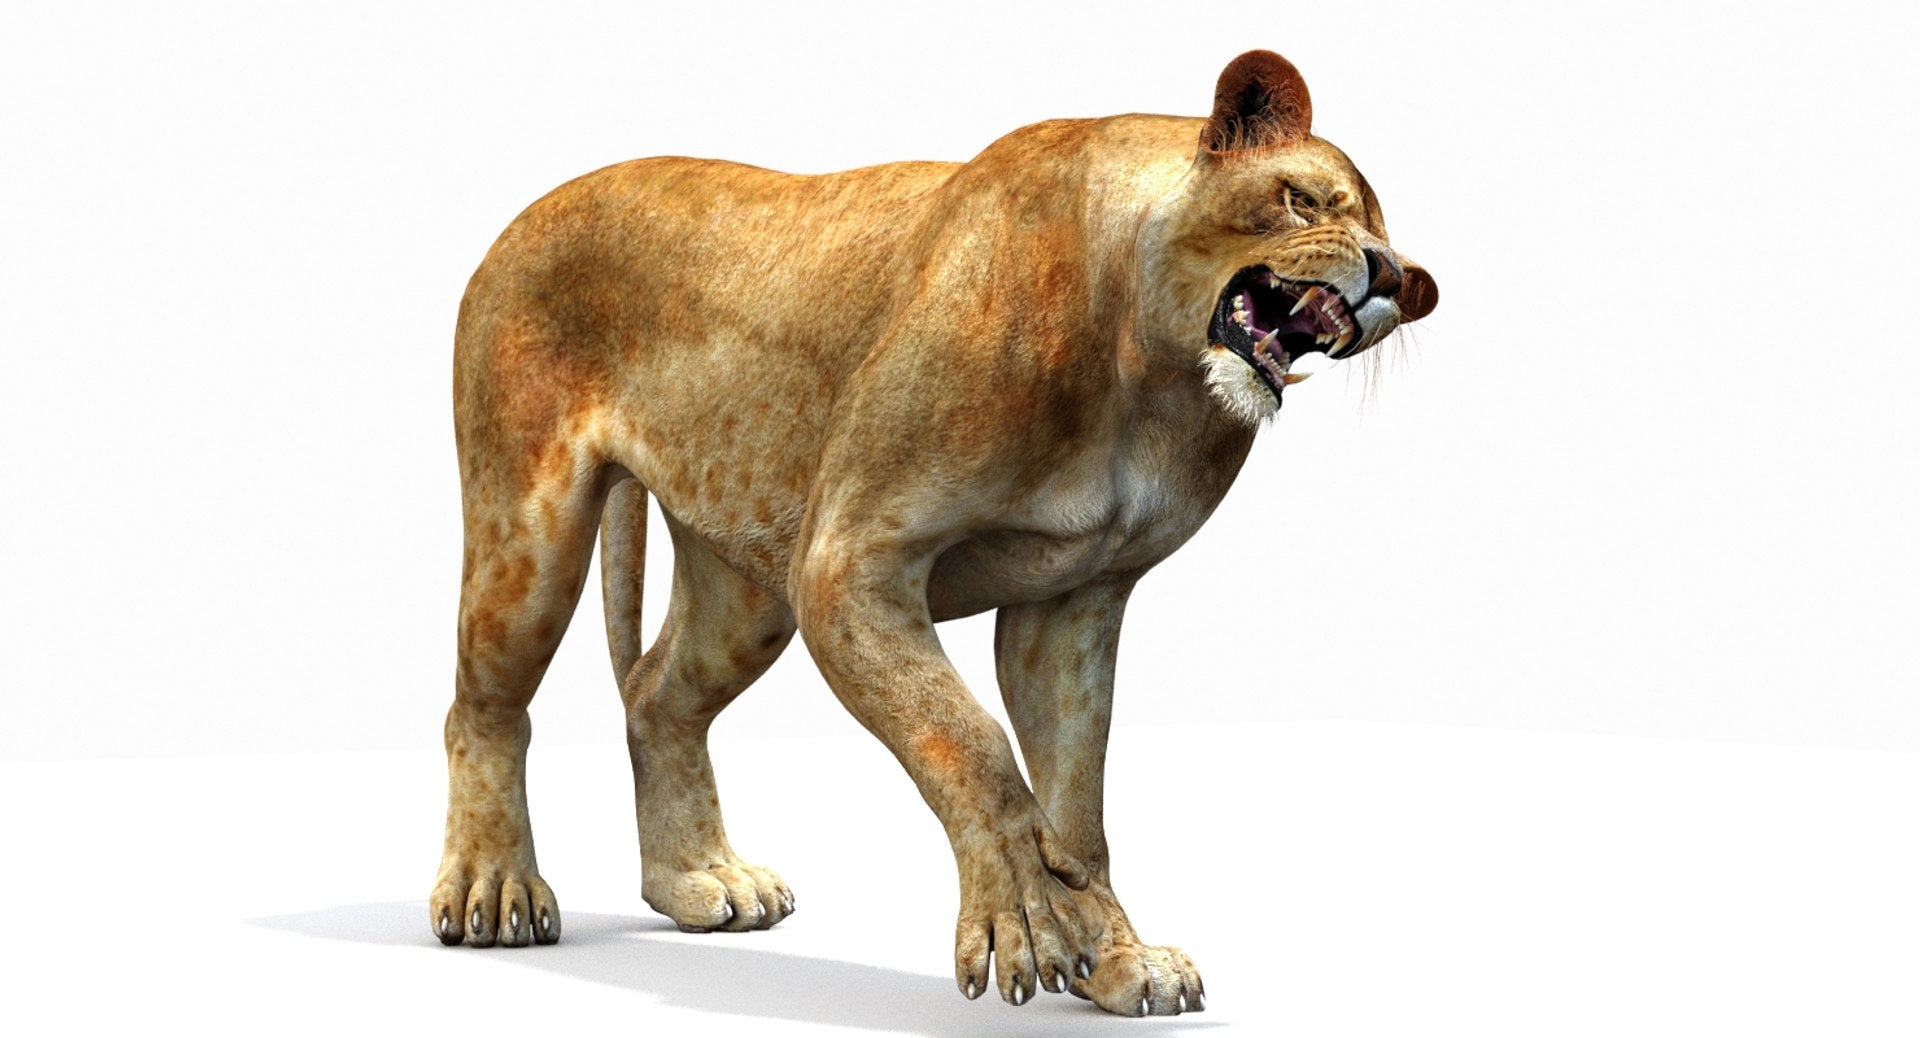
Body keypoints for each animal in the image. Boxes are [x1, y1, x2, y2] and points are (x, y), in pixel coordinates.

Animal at [430, 49, 1437, 1016]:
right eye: (1305, 198)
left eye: (1392, 248)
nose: (1393, 279)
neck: (1149, 374)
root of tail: (531, 210)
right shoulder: (850, 564)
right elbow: (971, 743)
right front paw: (1023, 919)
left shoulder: (1073, 599)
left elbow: (1078, 803)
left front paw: (1116, 959)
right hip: (533, 531)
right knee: (485, 705)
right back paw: (493, 891)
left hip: (746, 583)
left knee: (654, 694)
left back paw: (702, 879)